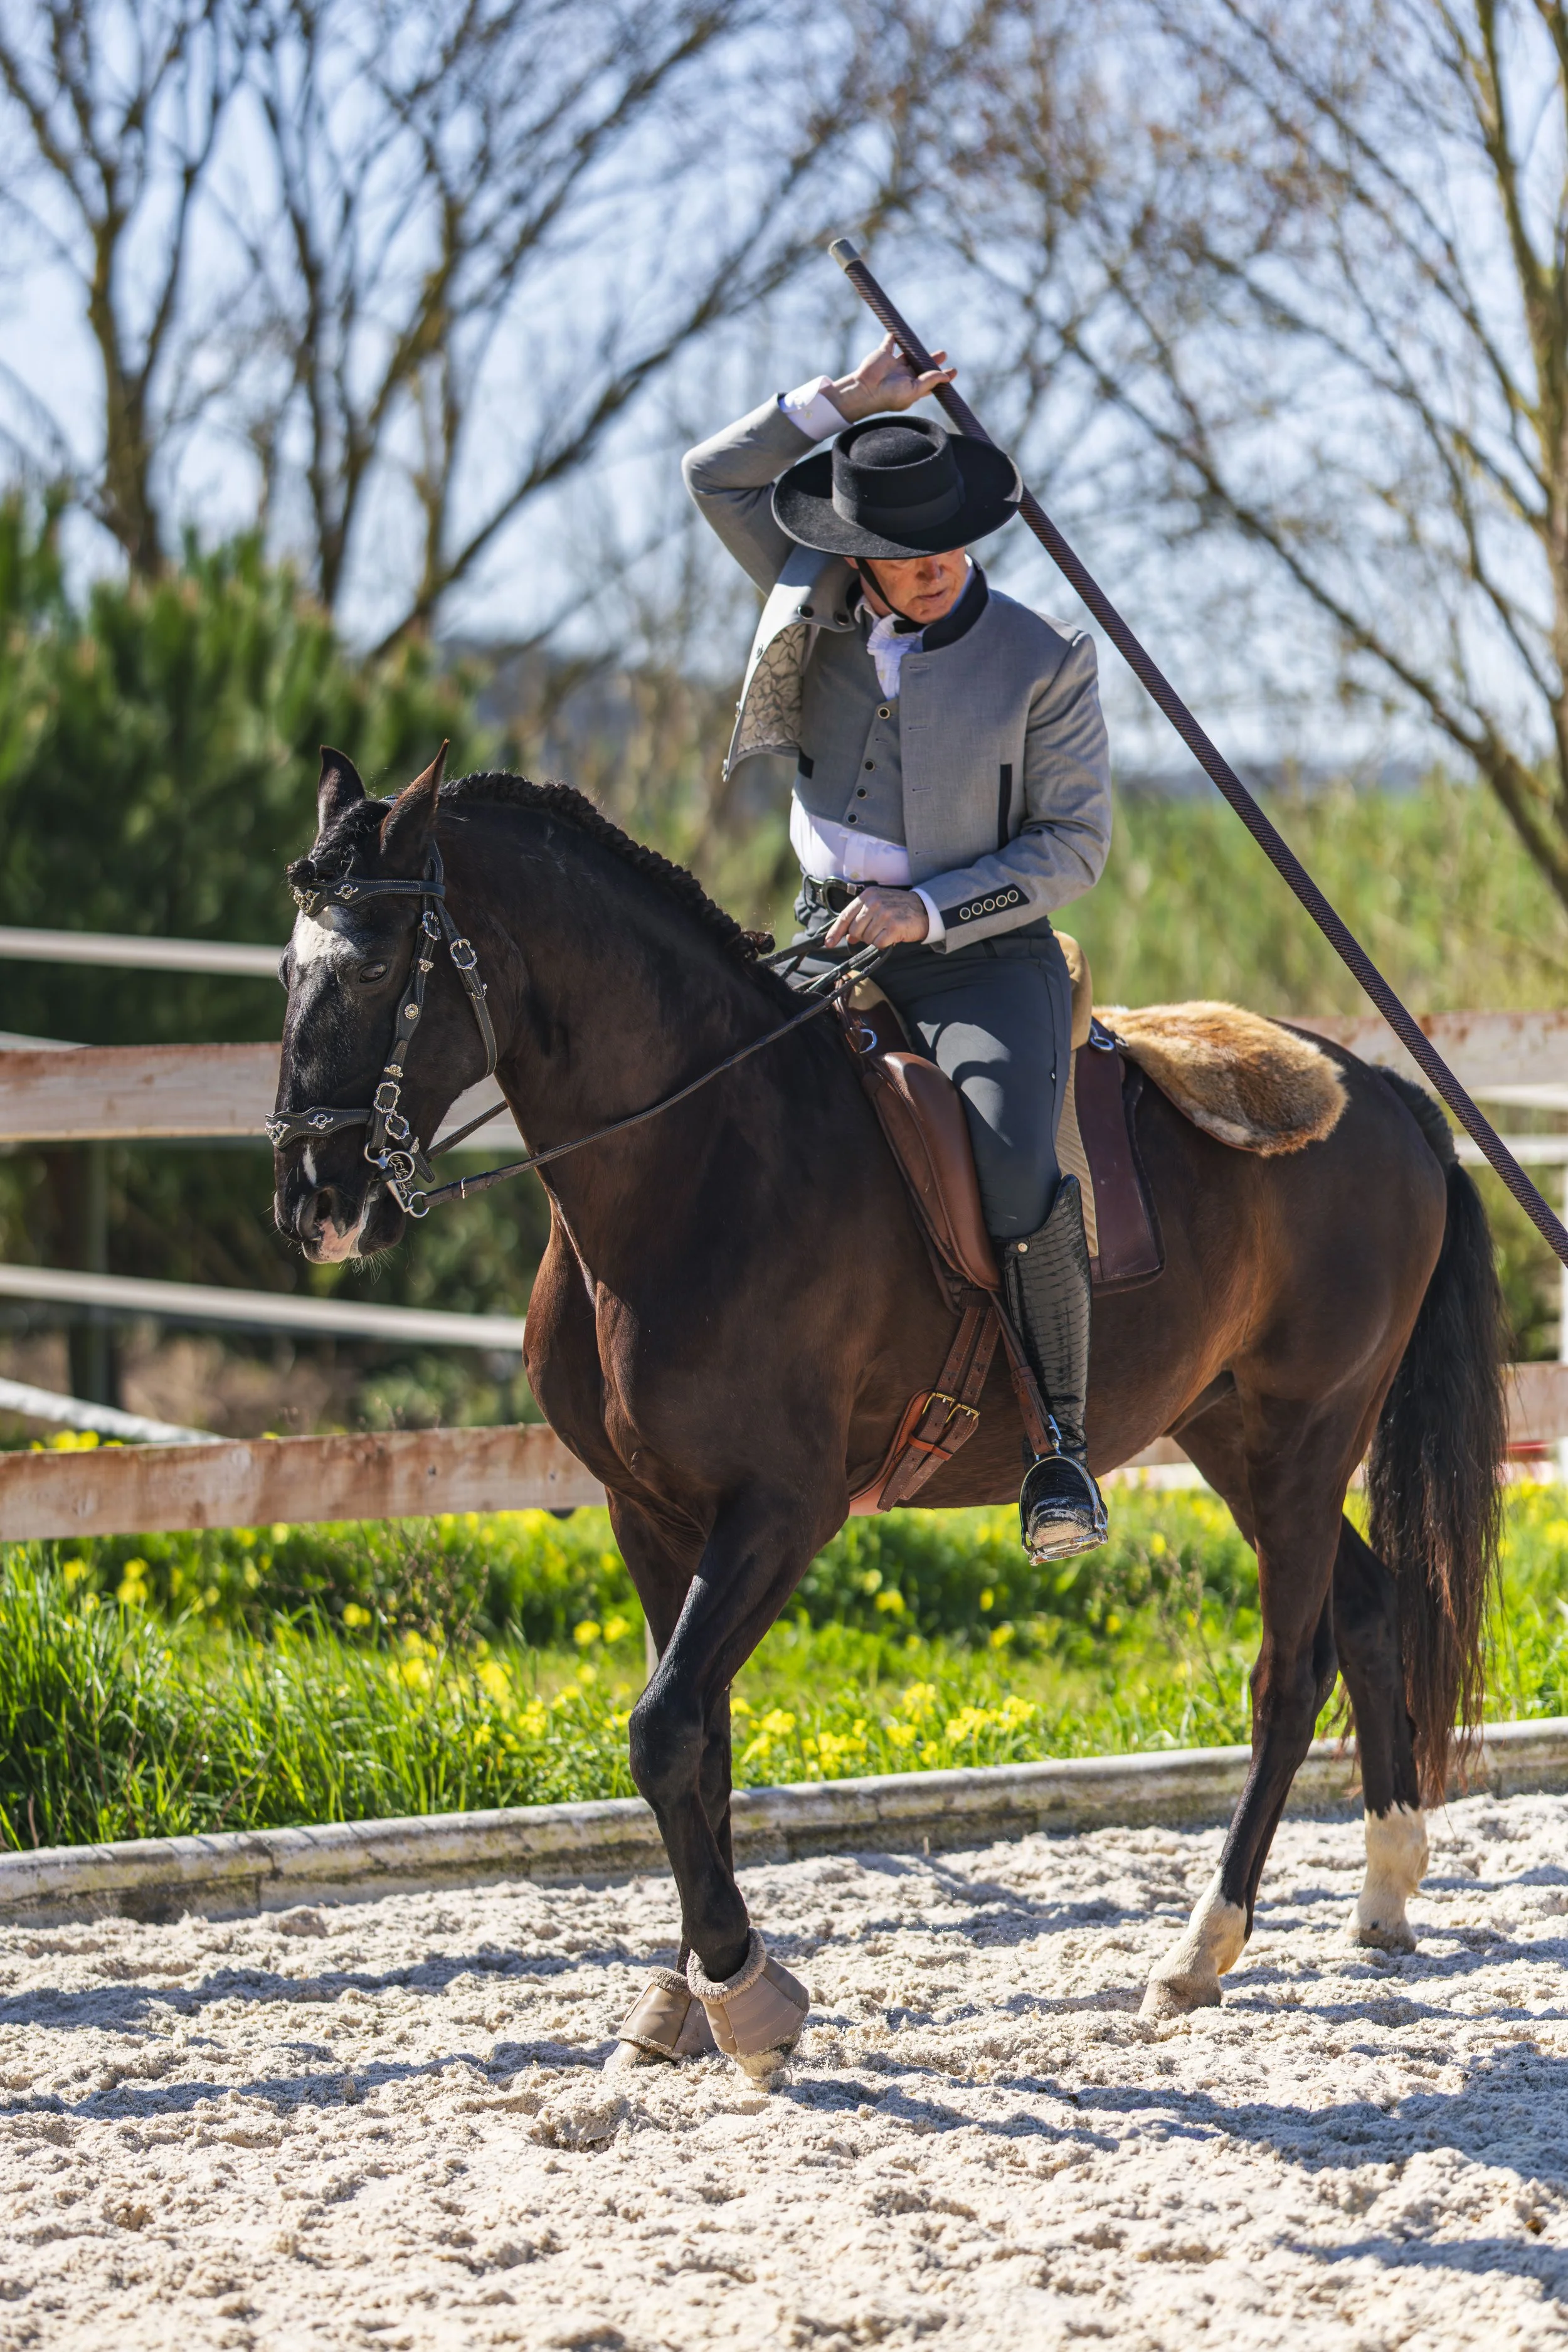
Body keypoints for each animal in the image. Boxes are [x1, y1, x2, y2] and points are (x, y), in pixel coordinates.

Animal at [271, 747, 1506, 2048]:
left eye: (372, 966)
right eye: (287, 971)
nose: (311, 1200)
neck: (705, 1155)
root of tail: (1381, 1090)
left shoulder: (782, 1511)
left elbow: (663, 1729)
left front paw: (745, 1994)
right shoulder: (648, 1511)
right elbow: (697, 1739)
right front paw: (687, 1991)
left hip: (1306, 1438)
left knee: (1290, 1677)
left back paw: (1199, 1951)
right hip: (1234, 1439)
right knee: (1369, 1614)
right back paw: (1383, 1891)